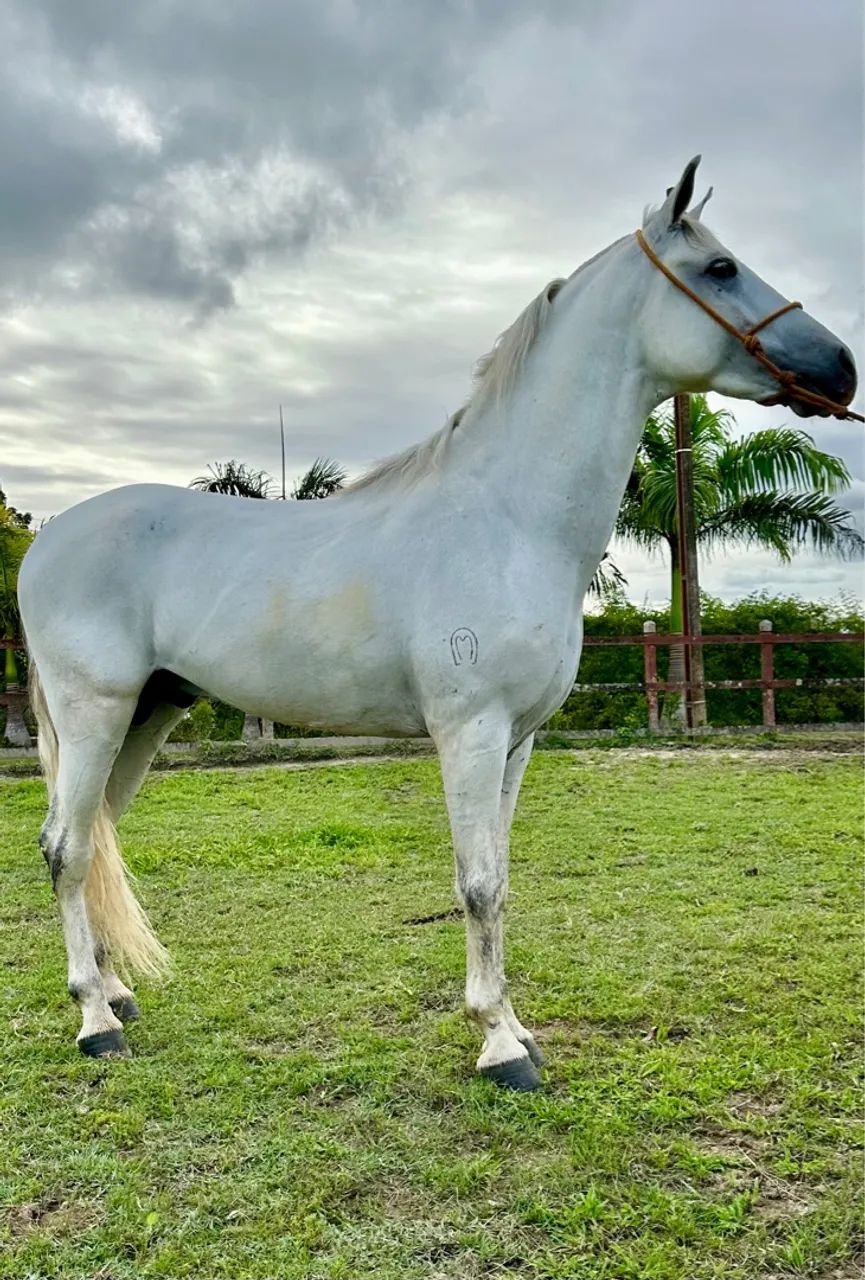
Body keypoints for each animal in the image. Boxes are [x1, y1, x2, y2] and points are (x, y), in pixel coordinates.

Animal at [17, 157, 858, 1090]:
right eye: (719, 269)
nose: (840, 370)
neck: (508, 518)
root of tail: (48, 542)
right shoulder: (471, 730)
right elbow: (478, 883)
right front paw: (499, 1044)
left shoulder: (518, 739)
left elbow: (502, 878)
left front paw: (515, 1029)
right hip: (95, 713)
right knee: (65, 846)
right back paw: (95, 1021)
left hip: (148, 712)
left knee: (93, 839)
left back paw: (115, 993)